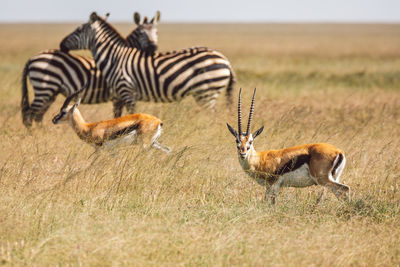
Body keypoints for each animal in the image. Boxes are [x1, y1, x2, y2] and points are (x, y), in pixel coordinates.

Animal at [20, 10, 161, 127]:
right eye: (142, 33)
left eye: (156, 32)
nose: (153, 48)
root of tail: (31, 58)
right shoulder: (118, 96)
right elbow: (119, 115)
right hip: (44, 88)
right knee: (29, 115)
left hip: (50, 92)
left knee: (38, 116)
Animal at [58, 12, 234, 114]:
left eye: (78, 30)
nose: (61, 45)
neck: (114, 58)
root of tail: (225, 59)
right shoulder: (118, 97)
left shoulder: (127, 92)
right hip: (206, 93)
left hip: (207, 92)